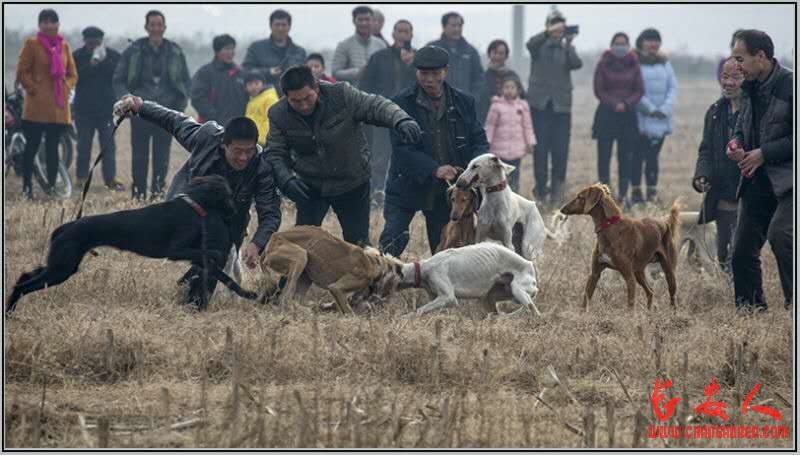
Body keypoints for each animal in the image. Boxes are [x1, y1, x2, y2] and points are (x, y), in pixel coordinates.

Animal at [6, 176, 256, 316]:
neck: (193, 206)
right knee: (24, 285)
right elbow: (210, 253)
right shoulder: (175, 250)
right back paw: (9, 313)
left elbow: (218, 269)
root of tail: (65, 227)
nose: (235, 211)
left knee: (24, 276)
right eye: (228, 196)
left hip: (61, 264)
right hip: (62, 268)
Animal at [260, 226, 404, 316]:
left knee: (295, 297)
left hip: (306, 272)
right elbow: (349, 312)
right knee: (285, 298)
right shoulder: (337, 288)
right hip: (301, 256)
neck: (374, 263)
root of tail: (272, 239)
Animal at [396, 242, 540, 318]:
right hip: (490, 296)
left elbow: (420, 310)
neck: (424, 267)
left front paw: (406, 317)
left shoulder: (448, 297)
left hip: (518, 289)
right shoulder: (434, 297)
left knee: (534, 310)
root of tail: (530, 264)